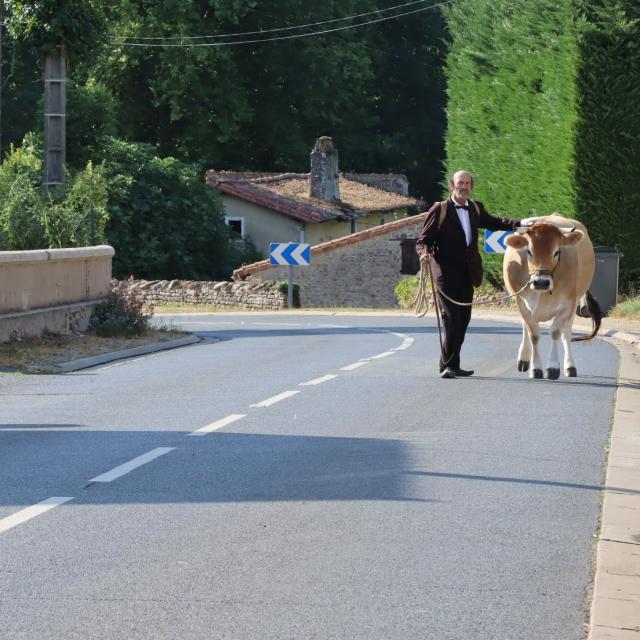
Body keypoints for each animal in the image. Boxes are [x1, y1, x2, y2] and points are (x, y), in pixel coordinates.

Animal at [502, 215, 604, 378]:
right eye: (529, 251)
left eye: (557, 252)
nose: (541, 282)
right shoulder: (521, 303)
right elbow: (533, 335)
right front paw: (535, 368)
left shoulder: (568, 305)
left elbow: (556, 332)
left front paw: (553, 367)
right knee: (525, 329)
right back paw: (524, 359)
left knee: (566, 333)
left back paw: (570, 366)